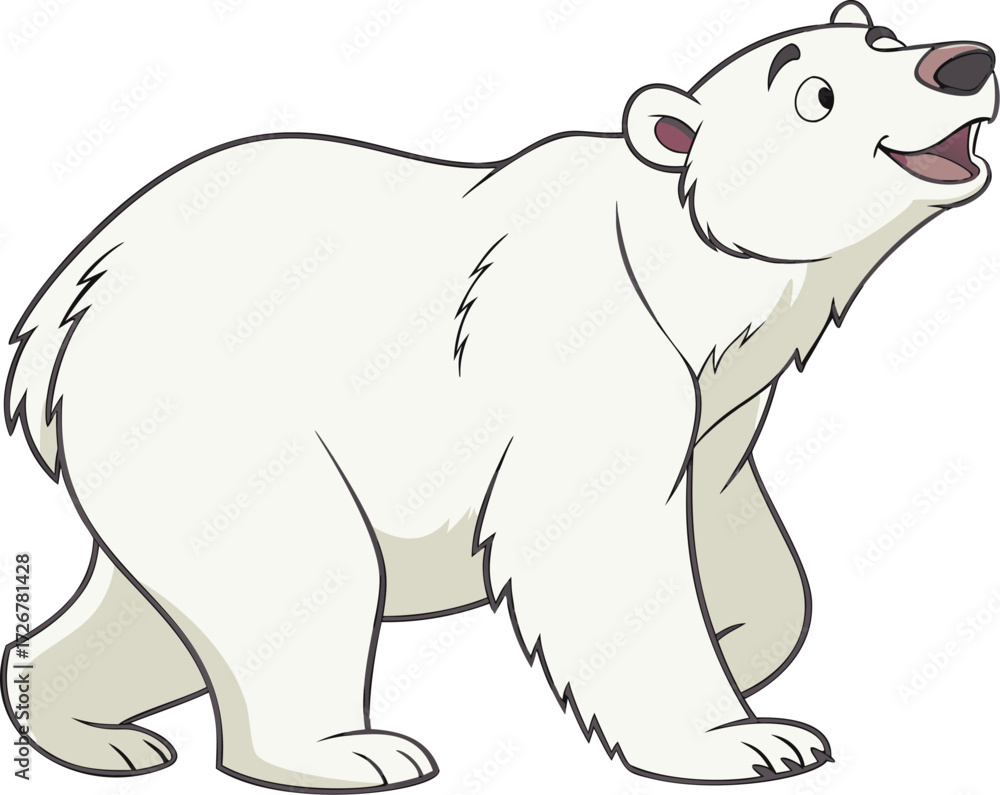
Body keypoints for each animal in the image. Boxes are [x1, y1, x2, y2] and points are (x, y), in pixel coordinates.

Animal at [3, 0, 996, 788]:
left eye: (885, 36)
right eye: (815, 93)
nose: (961, 61)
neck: (685, 277)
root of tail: (61, 299)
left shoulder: (721, 407)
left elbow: (728, 530)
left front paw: (745, 651)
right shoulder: (591, 348)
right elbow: (600, 542)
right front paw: (747, 739)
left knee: (147, 606)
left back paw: (91, 730)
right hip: (220, 409)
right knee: (299, 568)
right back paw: (354, 752)